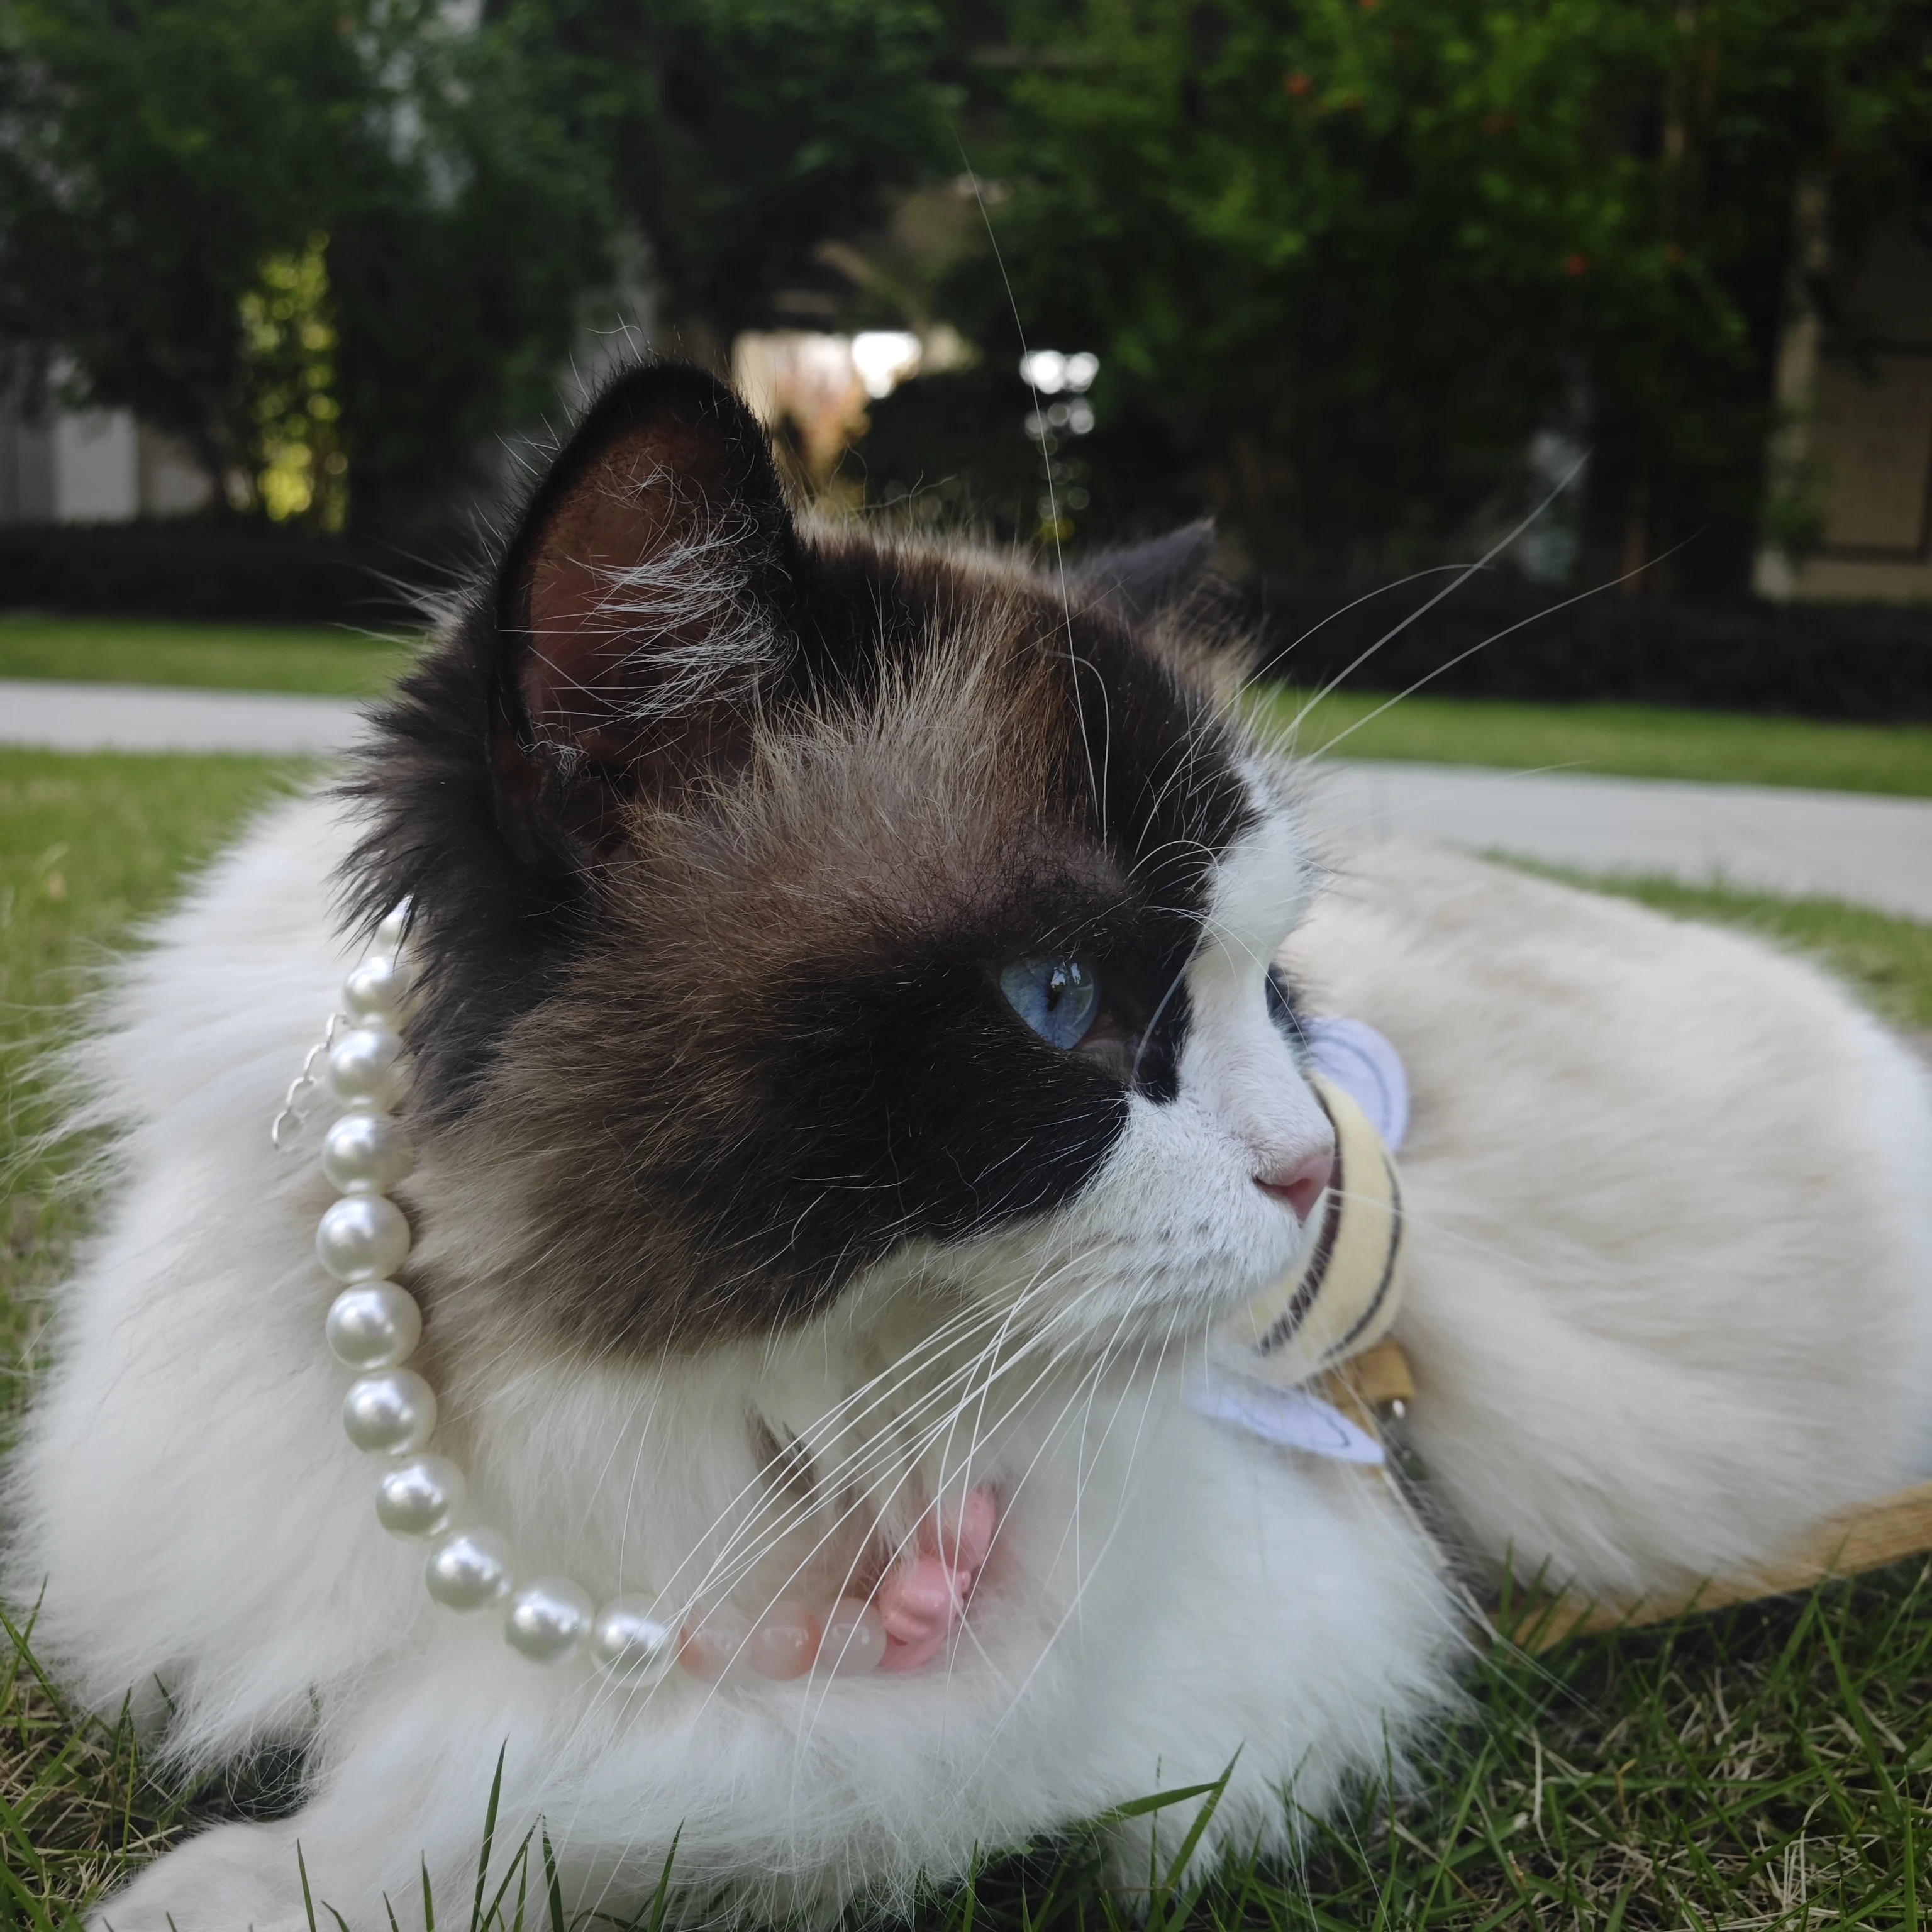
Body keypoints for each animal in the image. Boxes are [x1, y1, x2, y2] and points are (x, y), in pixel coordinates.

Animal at [11, 365, 1932, 1932]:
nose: (1318, 1179)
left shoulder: (1167, 1691)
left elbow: (511, 1786)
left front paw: (251, 1884)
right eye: (1058, 997)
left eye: (1272, 992)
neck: (570, 1392)